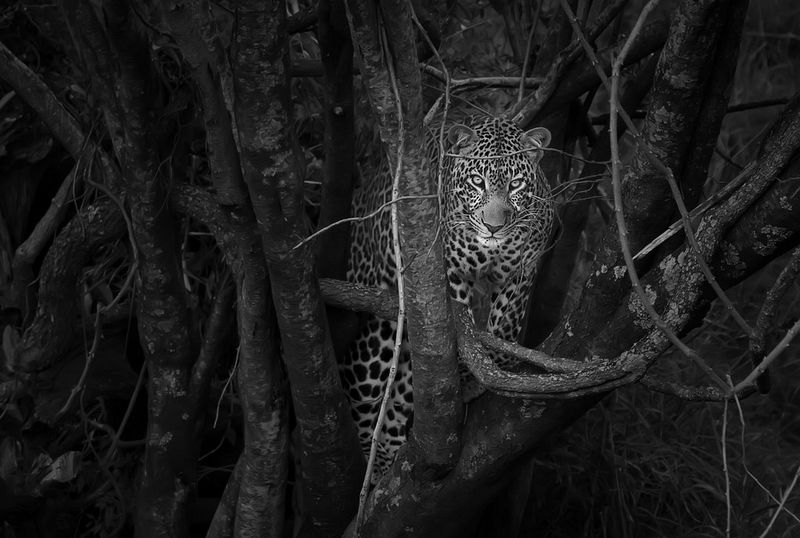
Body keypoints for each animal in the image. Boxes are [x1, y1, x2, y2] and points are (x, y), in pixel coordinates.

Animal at [341, 115, 554, 476]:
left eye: (515, 185)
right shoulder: (446, 268)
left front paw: (486, 370)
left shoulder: (524, 270)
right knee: (365, 398)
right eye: (478, 181)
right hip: (378, 332)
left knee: (400, 396)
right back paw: (376, 464)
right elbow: (458, 324)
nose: (493, 226)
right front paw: (465, 375)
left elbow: (505, 326)